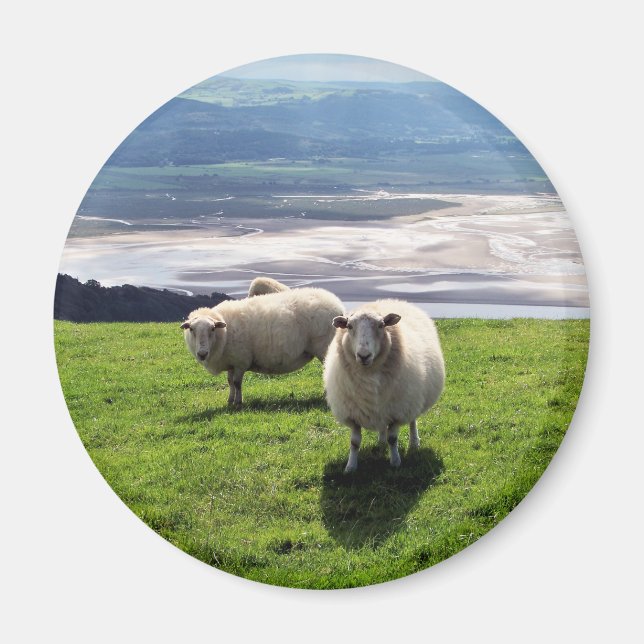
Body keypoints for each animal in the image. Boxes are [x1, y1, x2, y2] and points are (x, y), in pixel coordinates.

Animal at [182, 287, 344, 408]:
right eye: (191, 329)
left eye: (212, 329)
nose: (202, 353)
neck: (224, 334)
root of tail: (337, 304)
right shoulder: (231, 361)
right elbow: (230, 382)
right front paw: (230, 400)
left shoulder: (241, 361)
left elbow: (237, 383)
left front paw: (238, 403)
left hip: (324, 348)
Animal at [323, 299, 445, 473]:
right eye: (349, 326)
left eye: (381, 325)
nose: (364, 356)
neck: (368, 374)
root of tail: (391, 300)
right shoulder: (353, 414)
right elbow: (354, 442)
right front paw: (350, 467)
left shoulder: (397, 410)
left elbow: (392, 438)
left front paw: (395, 462)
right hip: (382, 406)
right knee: (381, 425)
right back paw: (381, 441)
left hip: (412, 399)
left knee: (412, 421)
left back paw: (414, 442)